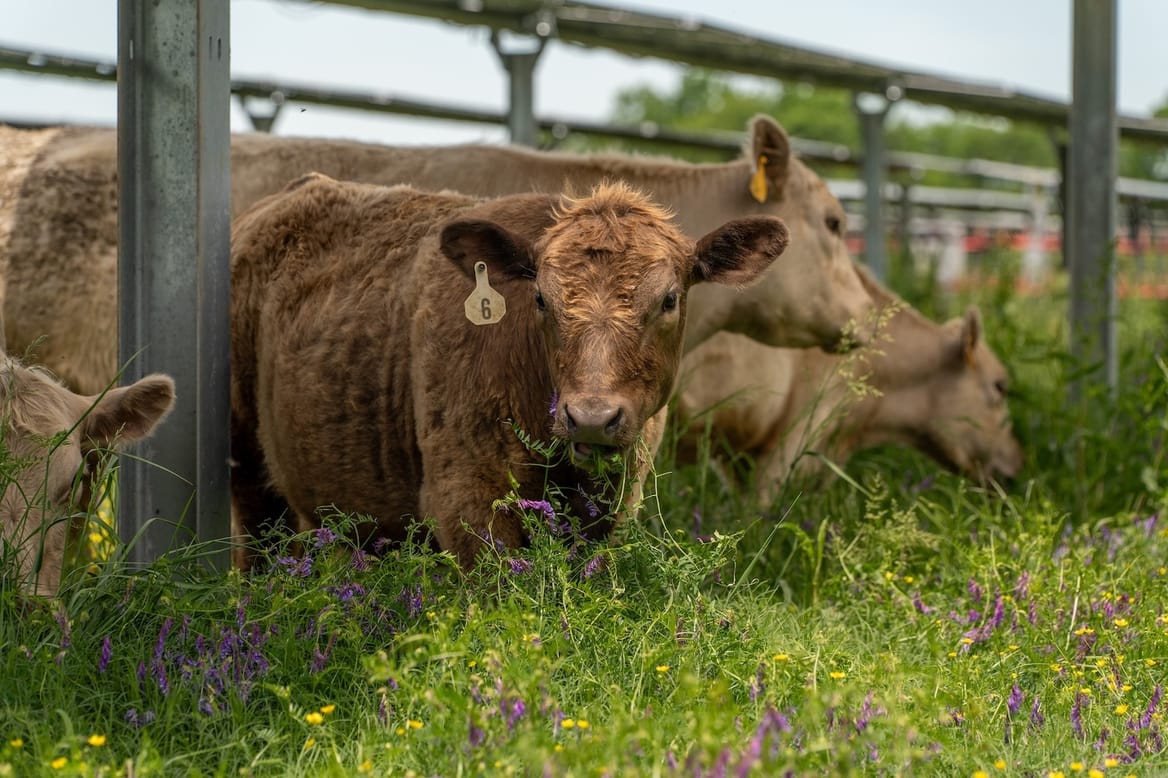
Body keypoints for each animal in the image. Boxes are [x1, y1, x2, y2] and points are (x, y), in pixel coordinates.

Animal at [230, 175, 787, 569]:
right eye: (540, 297)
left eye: (669, 299)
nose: (591, 418)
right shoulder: (468, 501)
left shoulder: (612, 509)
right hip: (249, 472)